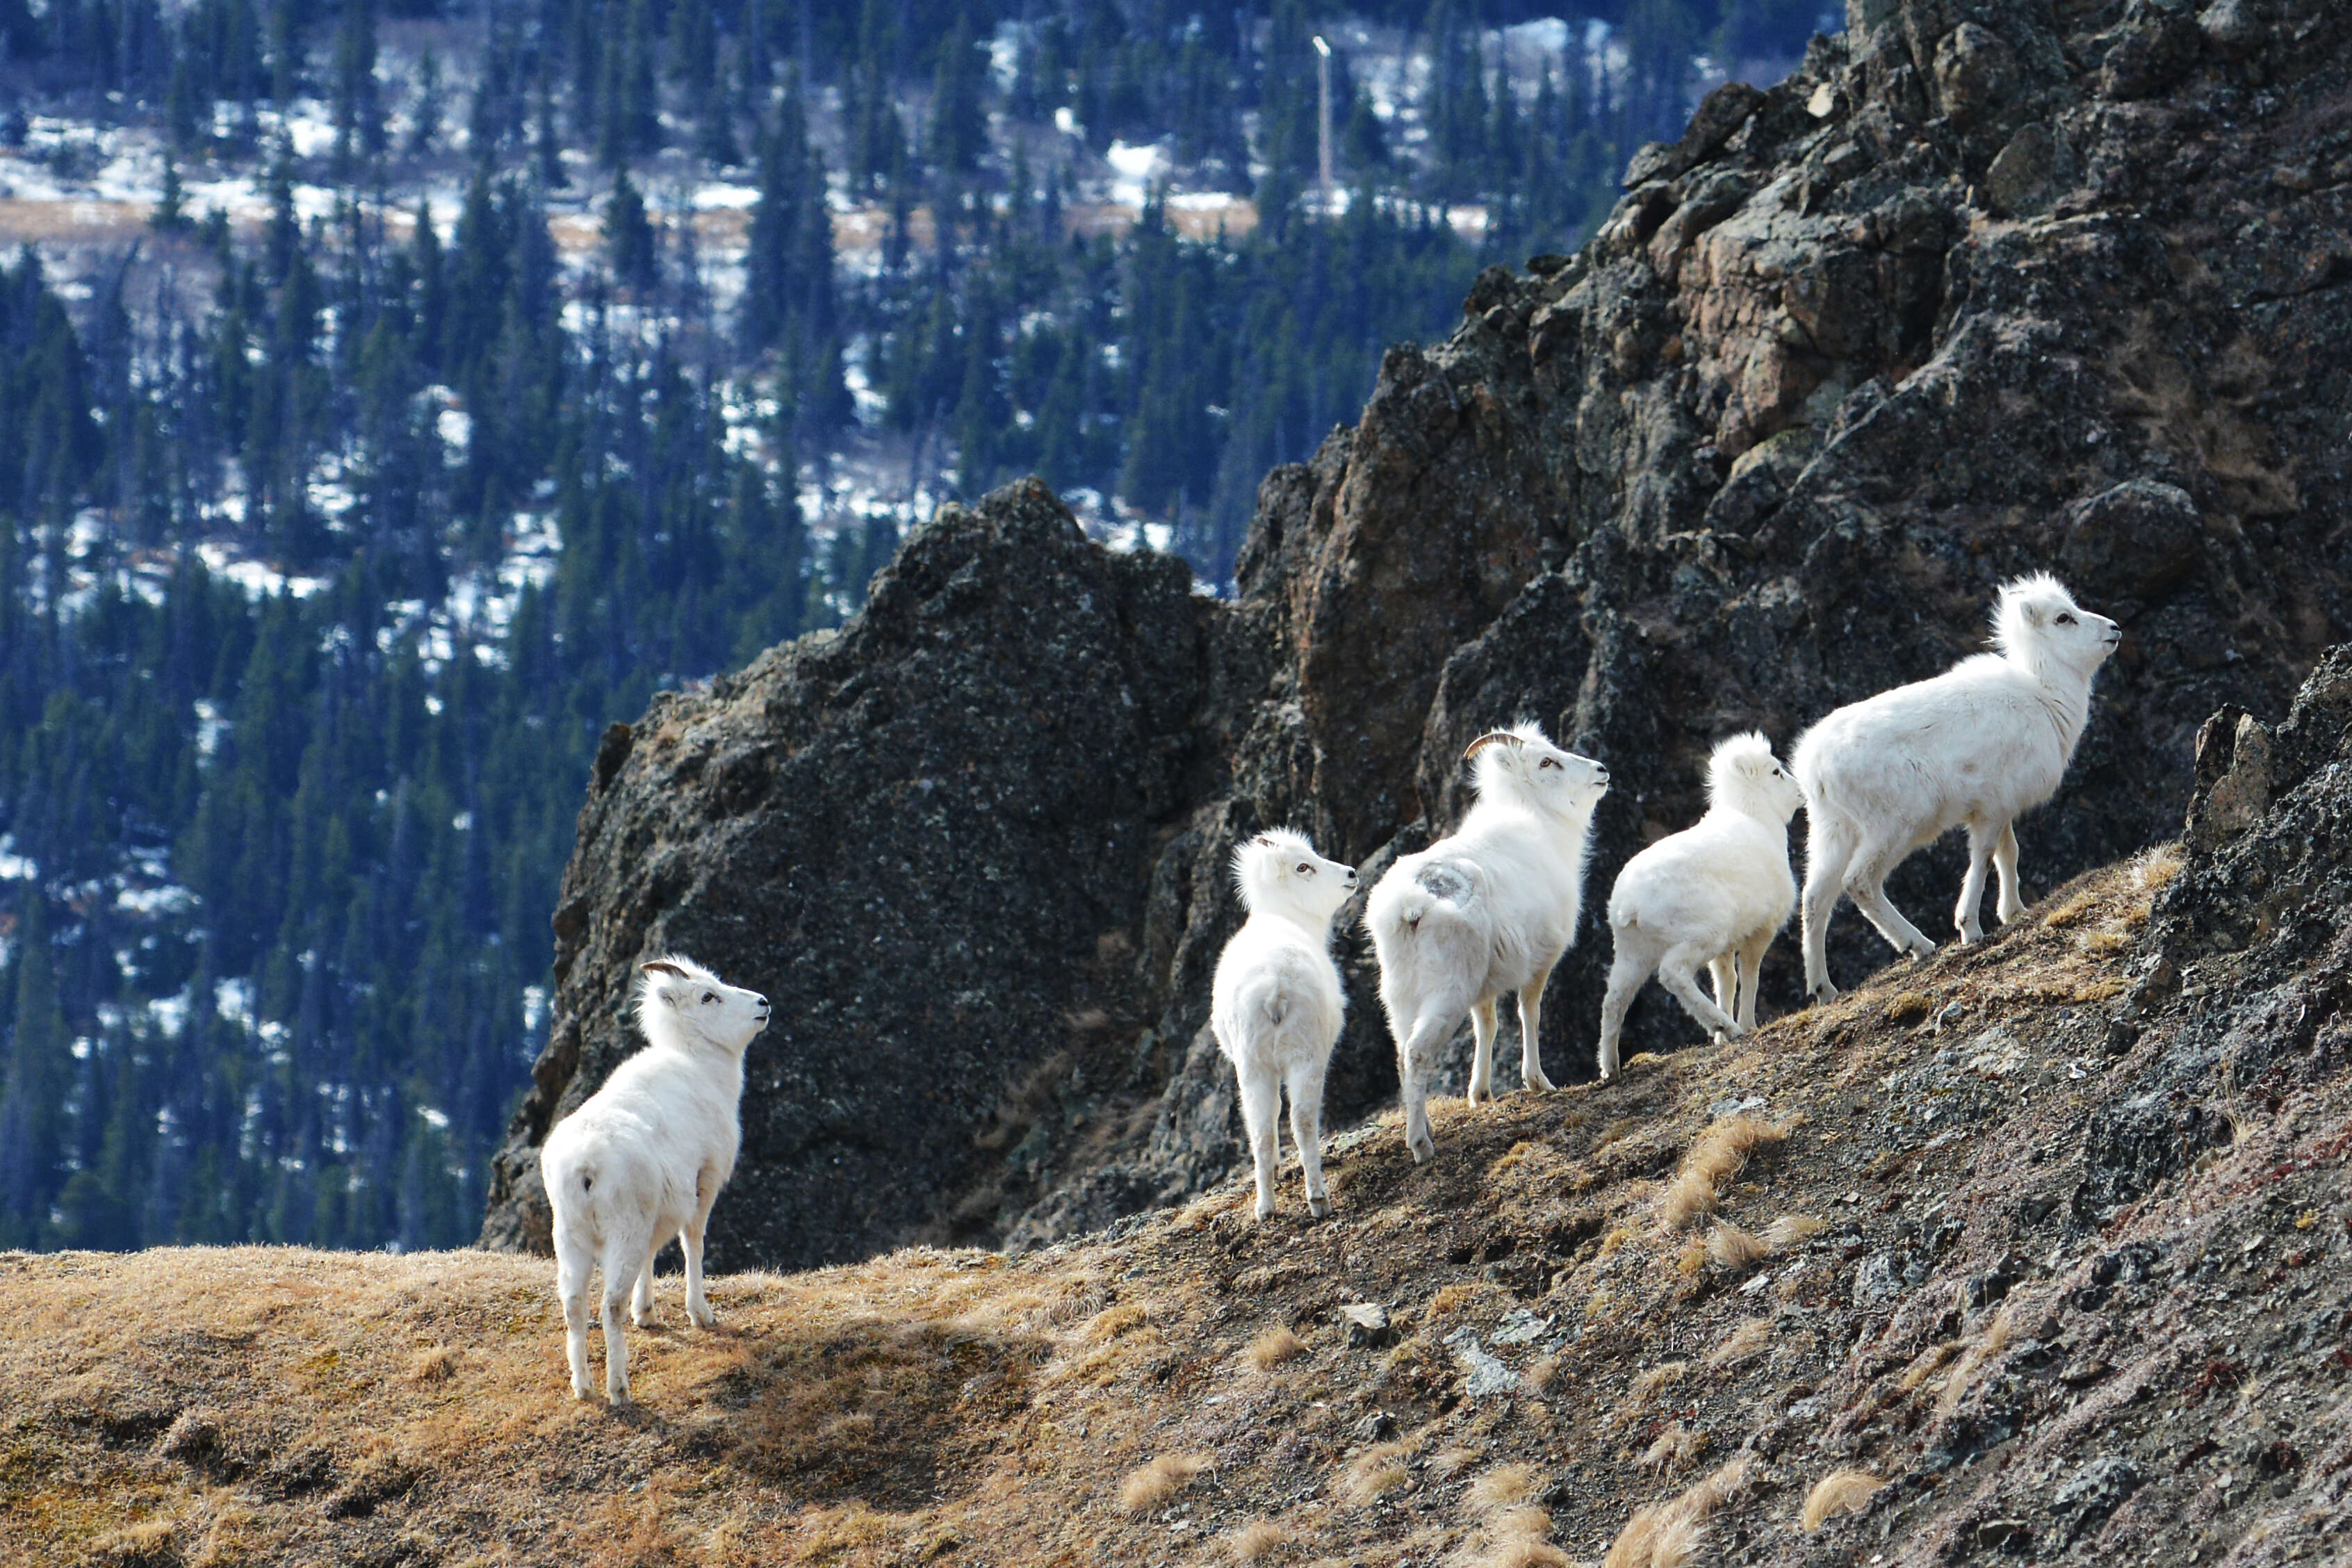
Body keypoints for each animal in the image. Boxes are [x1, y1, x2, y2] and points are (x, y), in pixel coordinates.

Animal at [538, 958, 767, 1410]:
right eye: (708, 996)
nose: (763, 1004)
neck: (699, 1066)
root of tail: (584, 1167)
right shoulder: (702, 1182)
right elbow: (693, 1244)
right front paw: (701, 1315)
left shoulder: (658, 1211)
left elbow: (653, 1255)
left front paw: (647, 1314)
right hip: (621, 1233)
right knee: (609, 1306)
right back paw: (619, 1390)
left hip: (571, 1237)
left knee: (573, 1305)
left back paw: (583, 1386)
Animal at [1214, 827, 1364, 1222]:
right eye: (1303, 867)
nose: (1351, 875)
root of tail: (1275, 988)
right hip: (1306, 1059)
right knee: (1303, 1122)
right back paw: (1319, 1201)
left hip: (1253, 1067)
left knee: (1262, 1131)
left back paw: (1265, 1209)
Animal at [1373, 724, 1608, 1166]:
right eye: (1546, 762)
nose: (1601, 770)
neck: (1542, 826)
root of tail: (1410, 906)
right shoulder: (1539, 963)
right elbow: (1529, 1015)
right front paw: (1538, 1082)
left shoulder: (1484, 986)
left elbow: (1488, 1025)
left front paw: (1480, 1094)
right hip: (1446, 993)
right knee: (1417, 1054)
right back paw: (1421, 1145)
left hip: (1400, 997)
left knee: (1400, 1056)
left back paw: (1425, 1125)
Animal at [1590, 733, 1806, 1081]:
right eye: (1776, 772)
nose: (1800, 794)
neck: (1756, 816)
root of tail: (1630, 905)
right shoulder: (1760, 932)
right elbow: (1750, 976)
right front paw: (1747, 1025)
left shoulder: (1727, 947)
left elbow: (1726, 981)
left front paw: (1721, 1040)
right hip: (1701, 935)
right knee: (1672, 974)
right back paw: (1727, 1026)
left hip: (1633, 952)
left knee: (1614, 1000)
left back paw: (1611, 1069)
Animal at [1787, 571, 2126, 1001]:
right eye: (2063, 618)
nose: (2114, 630)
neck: (2044, 696)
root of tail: (1813, 767)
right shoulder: (1988, 812)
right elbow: (1982, 859)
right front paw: (1971, 929)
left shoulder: (2001, 808)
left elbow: (2008, 854)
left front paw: (2014, 912)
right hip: (1894, 826)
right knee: (1859, 883)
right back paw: (1919, 944)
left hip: (1833, 832)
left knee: (1815, 899)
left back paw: (1824, 989)